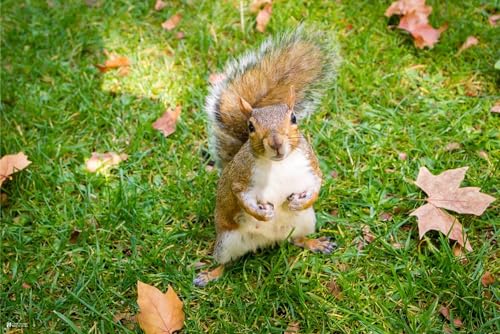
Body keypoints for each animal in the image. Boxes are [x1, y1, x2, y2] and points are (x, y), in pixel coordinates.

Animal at [194, 26, 340, 288]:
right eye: (251, 127)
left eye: (293, 118)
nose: (276, 143)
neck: (278, 165)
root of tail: (271, 240)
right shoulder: (240, 178)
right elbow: (242, 197)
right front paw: (262, 213)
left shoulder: (310, 163)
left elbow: (317, 183)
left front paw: (301, 200)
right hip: (227, 241)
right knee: (224, 262)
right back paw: (210, 275)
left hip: (306, 222)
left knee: (297, 240)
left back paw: (315, 243)